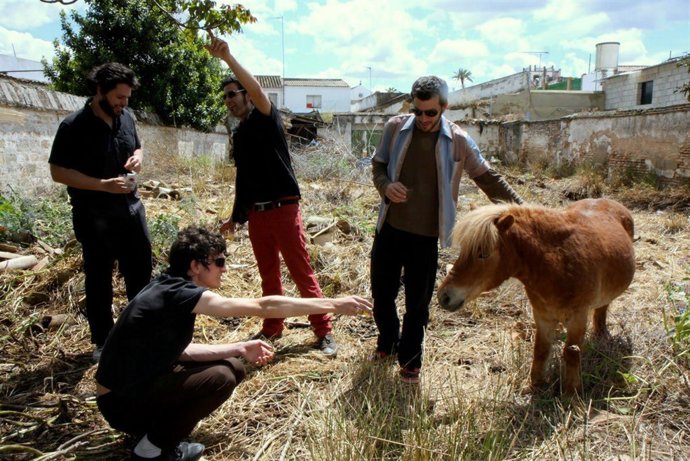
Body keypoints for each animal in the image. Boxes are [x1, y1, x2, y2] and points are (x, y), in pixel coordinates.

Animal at [437, 198, 635, 395]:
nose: (443, 297)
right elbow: (541, 349)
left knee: (602, 308)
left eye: (483, 254)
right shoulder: (542, 316)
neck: (559, 262)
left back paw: (601, 335)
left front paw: (571, 394)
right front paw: (535, 385)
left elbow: (571, 353)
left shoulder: (578, 318)